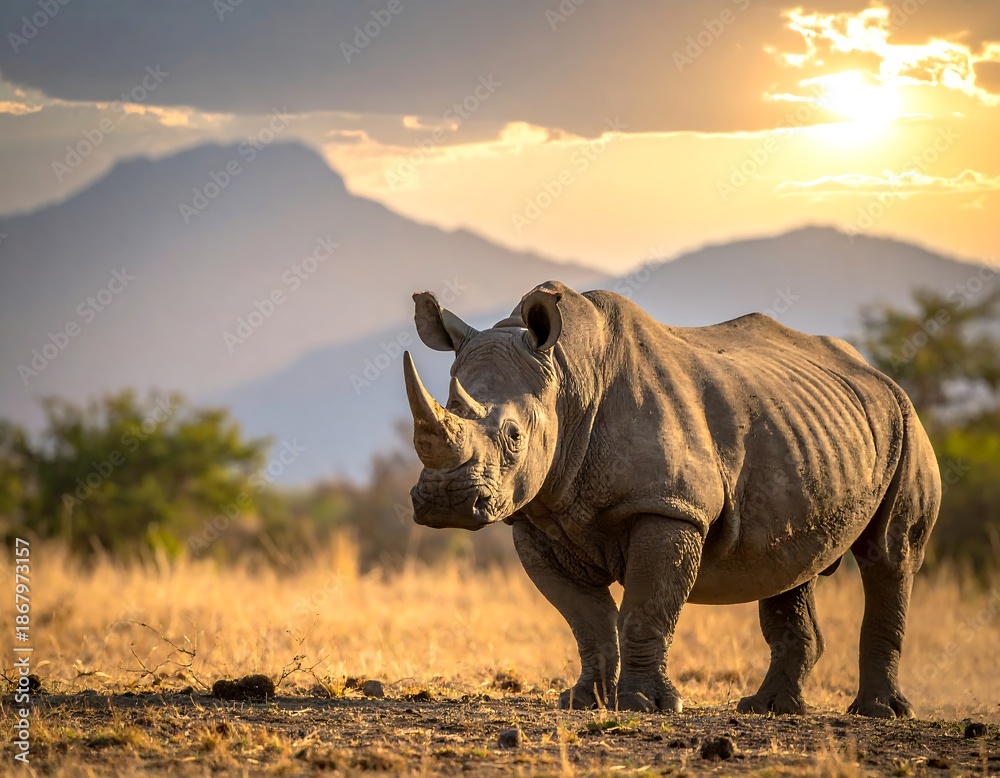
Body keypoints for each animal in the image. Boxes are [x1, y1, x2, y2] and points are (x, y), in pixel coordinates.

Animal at [402, 280, 940, 717]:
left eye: (513, 436)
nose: (444, 501)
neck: (566, 380)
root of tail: (874, 372)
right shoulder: (538, 518)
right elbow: (586, 619)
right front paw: (584, 701)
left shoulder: (669, 507)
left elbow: (646, 608)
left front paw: (645, 705)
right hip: (808, 431)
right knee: (793, 563)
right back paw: (769, 709)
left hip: (906, 421)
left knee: (890, 554)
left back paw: (880, 713)